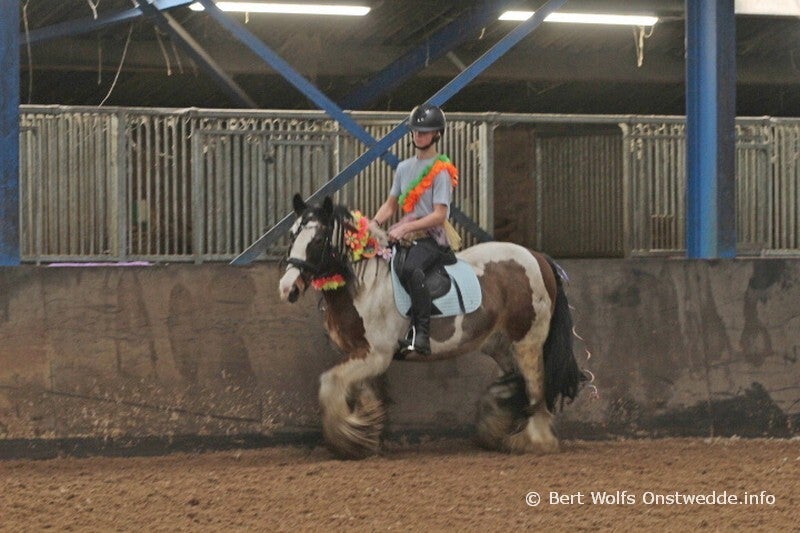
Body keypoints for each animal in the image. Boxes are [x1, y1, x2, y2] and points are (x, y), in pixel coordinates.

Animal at [278, 193, 587, 458]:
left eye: (319, 239)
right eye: (293, 235)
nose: (287, 288)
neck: (365, 286)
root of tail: (538, 257)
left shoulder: (377, 355)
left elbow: (330, 382)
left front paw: (346, 439)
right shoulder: (358, 353)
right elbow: (361, 392)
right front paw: (366, 434)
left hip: (528, 340)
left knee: (535, 385)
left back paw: (537, 441)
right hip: (498, 343)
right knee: (516, 380)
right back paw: (500, 429)